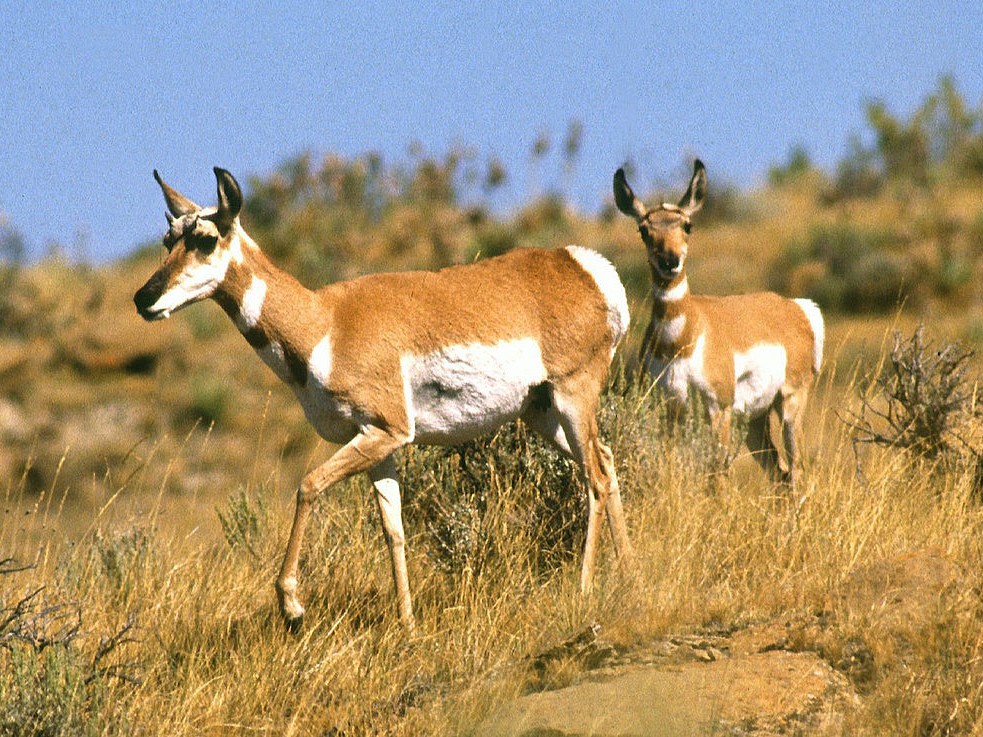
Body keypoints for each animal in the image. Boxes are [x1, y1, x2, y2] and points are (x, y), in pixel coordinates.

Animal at [135, 168, 636, 632]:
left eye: (205, 239)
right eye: (167, 239)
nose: (143, 298)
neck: (326, 323)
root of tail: (584, 267)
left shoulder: (385, 430)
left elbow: (308, 485)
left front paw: (292, 605)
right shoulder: (379, 444)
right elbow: (393, 531)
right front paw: (408, 625)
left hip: (572, 396)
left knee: (593, 477)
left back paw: (585, 588)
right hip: (541, 414)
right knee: (607, 462)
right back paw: (629, 574)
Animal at [616, 158, 824, 486]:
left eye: (687, 226)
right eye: (644, 230)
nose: (670, 261)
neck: (683, 338)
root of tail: (795, 307)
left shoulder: (718, 409)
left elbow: (718, 475)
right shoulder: (670, 411)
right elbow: (670, 466)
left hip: (790, 402)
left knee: (797, 470)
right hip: (756, 420)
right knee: (779, 471)